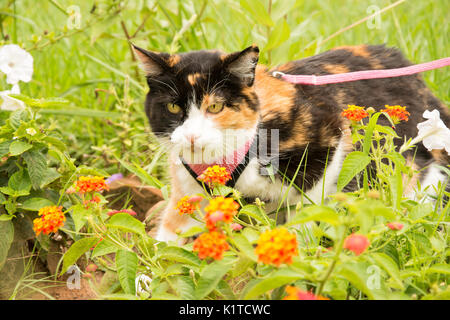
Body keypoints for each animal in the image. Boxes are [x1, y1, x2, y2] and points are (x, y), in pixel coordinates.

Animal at [132, 43, 448, 242]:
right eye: (173, 107)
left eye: (216, 107)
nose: (191, 136)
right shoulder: (187, 185)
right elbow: (170, 234)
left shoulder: (328, 134)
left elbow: (309, 202)